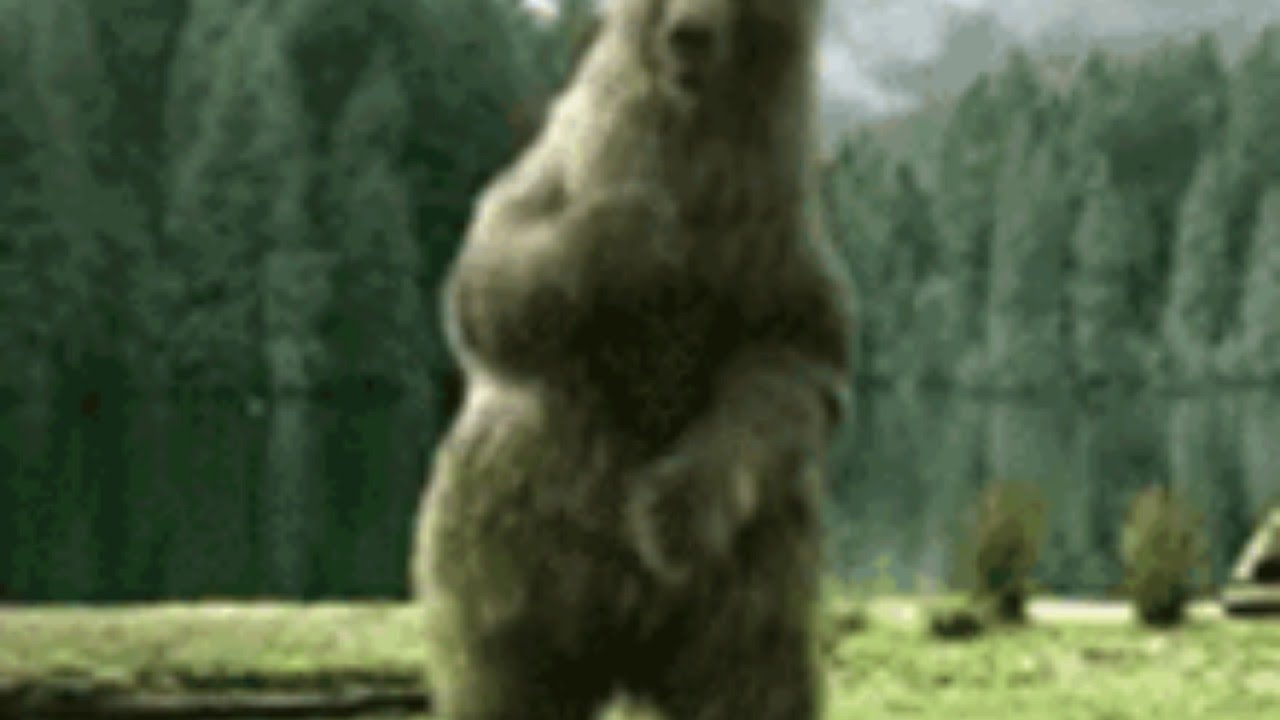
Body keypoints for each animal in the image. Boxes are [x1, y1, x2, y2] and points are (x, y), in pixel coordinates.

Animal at [411, 0, 853, 718]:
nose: (688, 34)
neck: (692, 136)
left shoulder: (773, 227)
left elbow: (792, 362)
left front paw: (671, 513)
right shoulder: (568, 163)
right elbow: (491, 276)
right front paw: (634, 231)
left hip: (742, 589)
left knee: (754, 673)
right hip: (512, 558)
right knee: (502, 675)